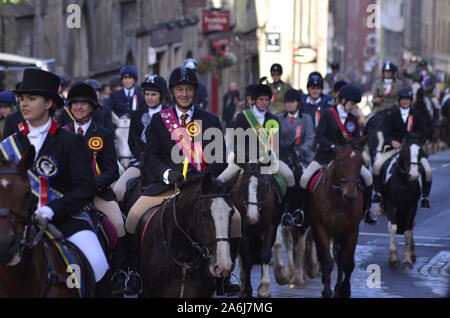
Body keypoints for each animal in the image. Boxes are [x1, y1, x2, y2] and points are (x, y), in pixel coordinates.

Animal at [232, 164, 282, 298]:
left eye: (263, 184)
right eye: (243, 184)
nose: (252, 218)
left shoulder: (270, 228)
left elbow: (265, 254)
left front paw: (264, 288)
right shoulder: (244, 232)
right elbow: (247, 258)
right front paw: (247, 289)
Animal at [306, 134, 370, 298]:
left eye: (361, 161)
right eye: (340, 159)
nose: (350, 196)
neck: (337, 199)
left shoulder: (352, 231)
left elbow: (347, 263)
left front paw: (344, 290)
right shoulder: (320, 228)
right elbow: (327, 261)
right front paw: (327, 290)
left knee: (340, 259)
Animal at [376, 134, 426, 268]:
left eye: (420, 152)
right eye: (405, 151)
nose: (414, 175)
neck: (403, 182)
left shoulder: (411, 206)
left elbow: (407, 231)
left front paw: (407, 259)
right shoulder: (389, 203)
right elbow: (393, 227)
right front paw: (393, 258)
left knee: (411, 225)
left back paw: (412, 253)